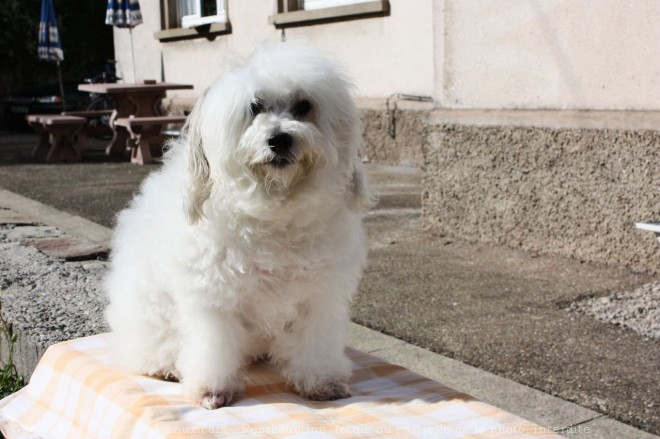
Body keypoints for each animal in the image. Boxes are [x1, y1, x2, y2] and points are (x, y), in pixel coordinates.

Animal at [104, 43, 372, 410]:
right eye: (254, 107)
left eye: (303, 106)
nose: (280, 139)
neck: (272, 212)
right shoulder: (213, 300)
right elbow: (212, 347)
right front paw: (211, 389)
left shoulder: (319, 298)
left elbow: (315, 343)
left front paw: (321, 381)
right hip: (149, 316)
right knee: (148, 350)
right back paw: (167, 366)